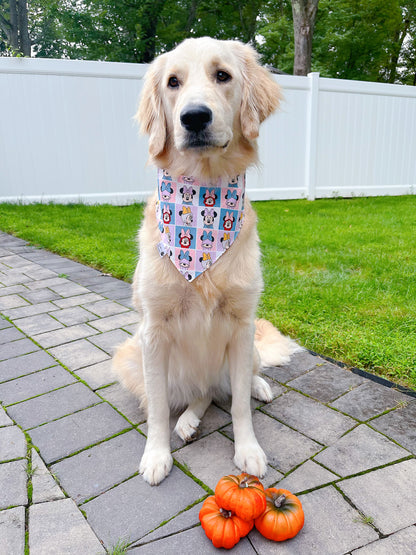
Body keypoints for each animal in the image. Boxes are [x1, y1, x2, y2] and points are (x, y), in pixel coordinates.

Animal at [114, 35, 300, 486]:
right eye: (173, 82)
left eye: (223, 75)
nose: (194, 117)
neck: (204, 197)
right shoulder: (153, 331)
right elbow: (158, 407)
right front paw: (156, 454)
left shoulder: (242, 323)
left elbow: (239, 407)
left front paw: (248, 449)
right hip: (131, 357)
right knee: (197, 395)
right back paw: (187, 422)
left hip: (245, 348)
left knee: (229, 386)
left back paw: (256, 388)